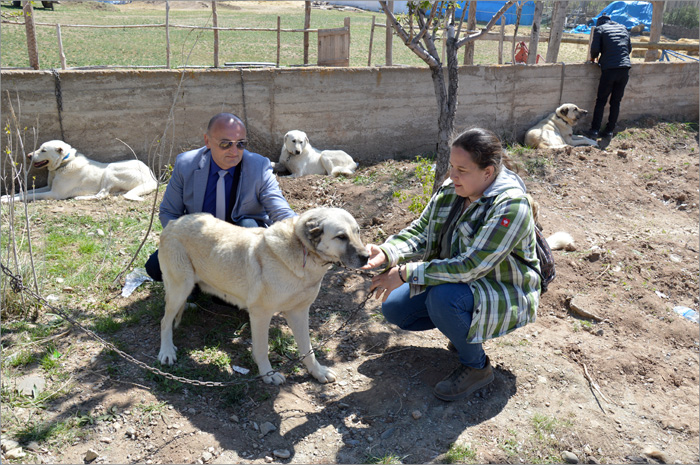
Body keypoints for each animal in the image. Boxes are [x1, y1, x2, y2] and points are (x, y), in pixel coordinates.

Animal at [1, 140, 157, 201]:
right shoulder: (49, 187)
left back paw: (79, 197)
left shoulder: (54, 193)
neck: (64, 163)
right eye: (39, 148)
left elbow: (28, 195)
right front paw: (7, 196)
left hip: (110, 168)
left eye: (43, 150)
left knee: (101, 195)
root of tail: (152, 178)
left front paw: (8, 200)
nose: (28, 155)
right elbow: (27, 191)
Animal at [157, 207, 370, 384]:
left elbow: (307, 349)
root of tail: (173, 223)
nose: (367, 257)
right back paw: (166, 350)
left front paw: (317, 372)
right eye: (341, 236)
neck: (302, 253)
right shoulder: (261, 314)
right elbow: (262, 349)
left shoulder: (299, 312)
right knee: (164, 321)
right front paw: (268, 374)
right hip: (180, 288)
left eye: (357, 231)